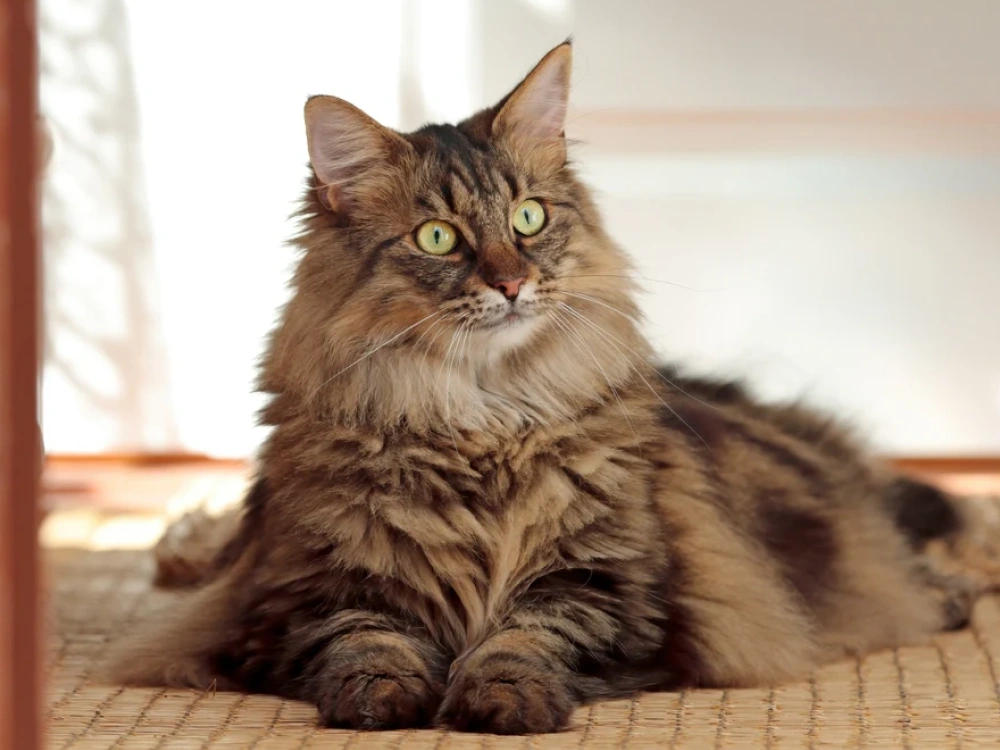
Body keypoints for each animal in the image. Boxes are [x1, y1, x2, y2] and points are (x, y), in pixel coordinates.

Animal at [103, 41, 1000, 736]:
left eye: (529, 219)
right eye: (439, 237)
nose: (510, 283)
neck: (483, 417)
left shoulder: (603, 588)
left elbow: (525, 639)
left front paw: (500, 699)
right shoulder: (303, 596)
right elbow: (366, 639)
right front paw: (383, 698)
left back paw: (950, 590)